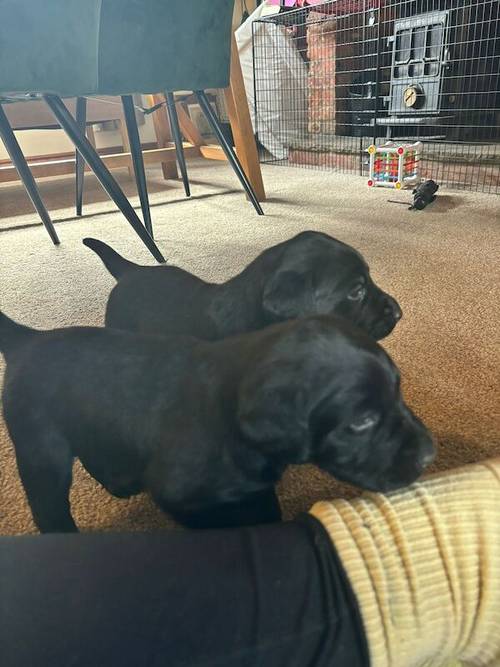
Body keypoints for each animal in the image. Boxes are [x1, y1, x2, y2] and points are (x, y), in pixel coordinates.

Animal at [0, 310, 434, 536]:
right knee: (48, 505)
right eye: (361, 422)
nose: (430, 455)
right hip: (42, 451)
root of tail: (28, 340)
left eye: (399, 394)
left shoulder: (254, 483)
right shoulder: (182, 496)